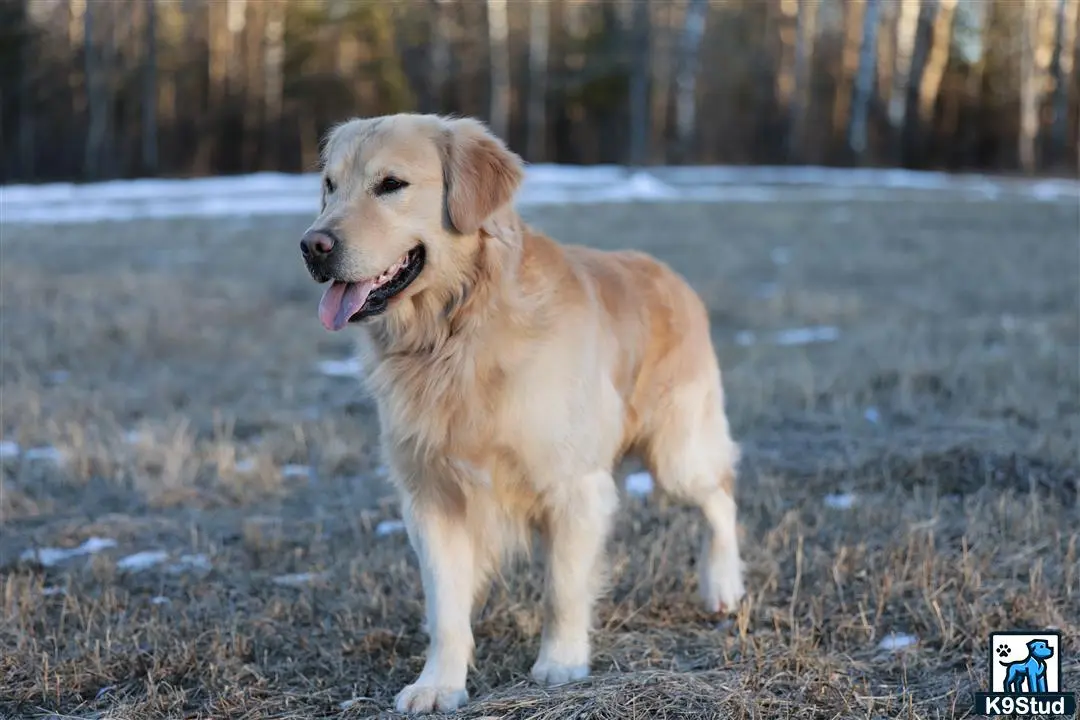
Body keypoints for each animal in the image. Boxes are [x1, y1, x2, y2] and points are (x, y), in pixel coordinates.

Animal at [300, 113, 747, 716]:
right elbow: (446, 607)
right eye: (329, 185)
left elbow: (563, 587)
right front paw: (438, 684)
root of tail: (668, 272)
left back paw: (722, 585)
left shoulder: (574, 487)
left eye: (391, 184)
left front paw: (561, 663)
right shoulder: (431, 499)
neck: (458, 333)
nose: (313, 245)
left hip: (677, 452)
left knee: (720, 494)